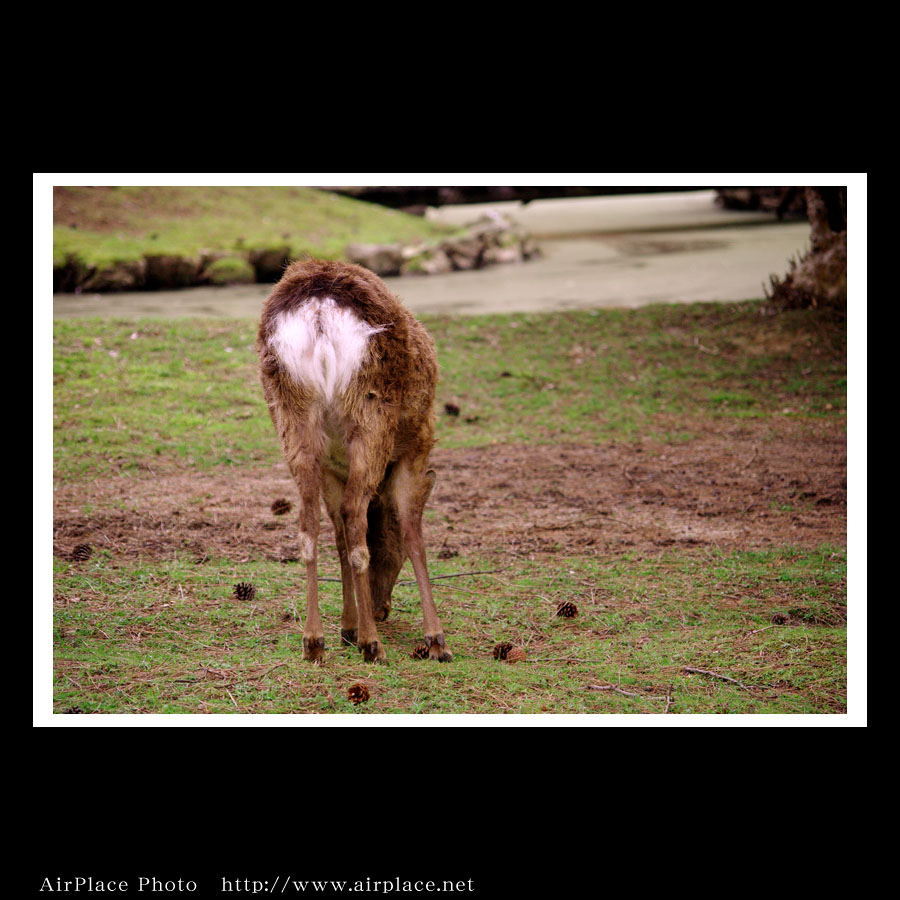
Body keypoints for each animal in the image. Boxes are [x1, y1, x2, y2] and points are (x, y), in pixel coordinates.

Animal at [256, 256, 454, 664]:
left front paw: (347, 627)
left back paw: (315, 641)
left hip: (291, 414)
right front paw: (436, 639)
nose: (381, 608)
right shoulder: (415, 451)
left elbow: (339, 538)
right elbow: (413, 533)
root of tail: (318, 309)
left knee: (310, 518)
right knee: (353, 512)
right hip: (371, 411)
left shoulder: (334, 467)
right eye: (392, 556)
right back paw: (371, 643)